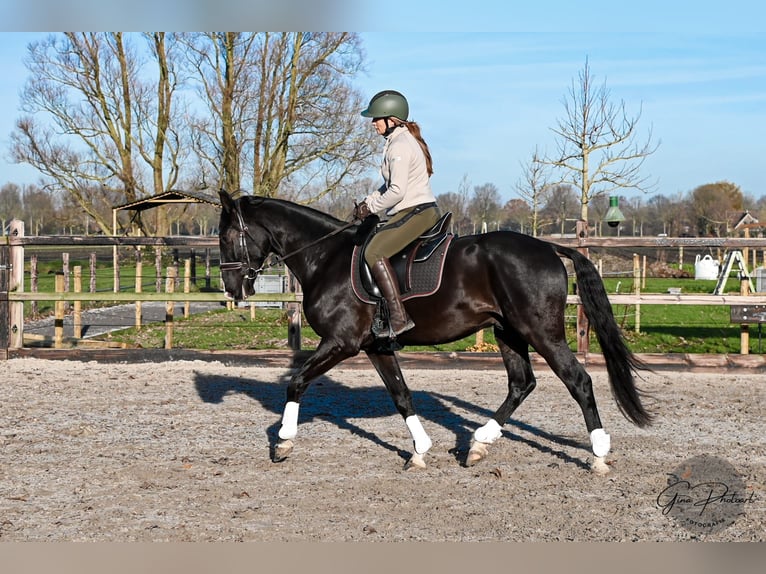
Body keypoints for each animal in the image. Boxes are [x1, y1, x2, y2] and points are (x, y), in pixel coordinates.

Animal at [218, 191, 656, 474]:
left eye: (226, 236)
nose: (233, 289)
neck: (327, 257)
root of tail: (548, 247)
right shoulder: (376, 346)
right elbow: (401, 395)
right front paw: (419, 451)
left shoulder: (341, 343)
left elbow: (296, 382)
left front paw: (283, 440)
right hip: (508, 332)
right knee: (521, 383)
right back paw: (478, 444)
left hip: (541, 333)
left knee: (578, 380)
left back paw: (598, 454)